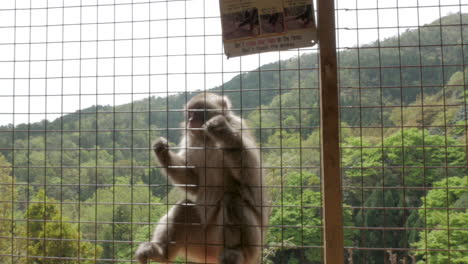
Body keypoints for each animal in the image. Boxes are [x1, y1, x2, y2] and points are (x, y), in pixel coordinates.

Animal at [135, 93, 266, 264]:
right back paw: (160, 252)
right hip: (202, 243)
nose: (191, 120)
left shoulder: (238, 126)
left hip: (253, 244)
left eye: (198, 112)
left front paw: (222, 131)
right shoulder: (191, 141)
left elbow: (251, 176)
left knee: (233, 199)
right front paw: (163, 153)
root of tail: (213, 256)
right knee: (183, 207)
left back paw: (235, 251)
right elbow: (194, 181)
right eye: (190, 113)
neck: (207, 139)